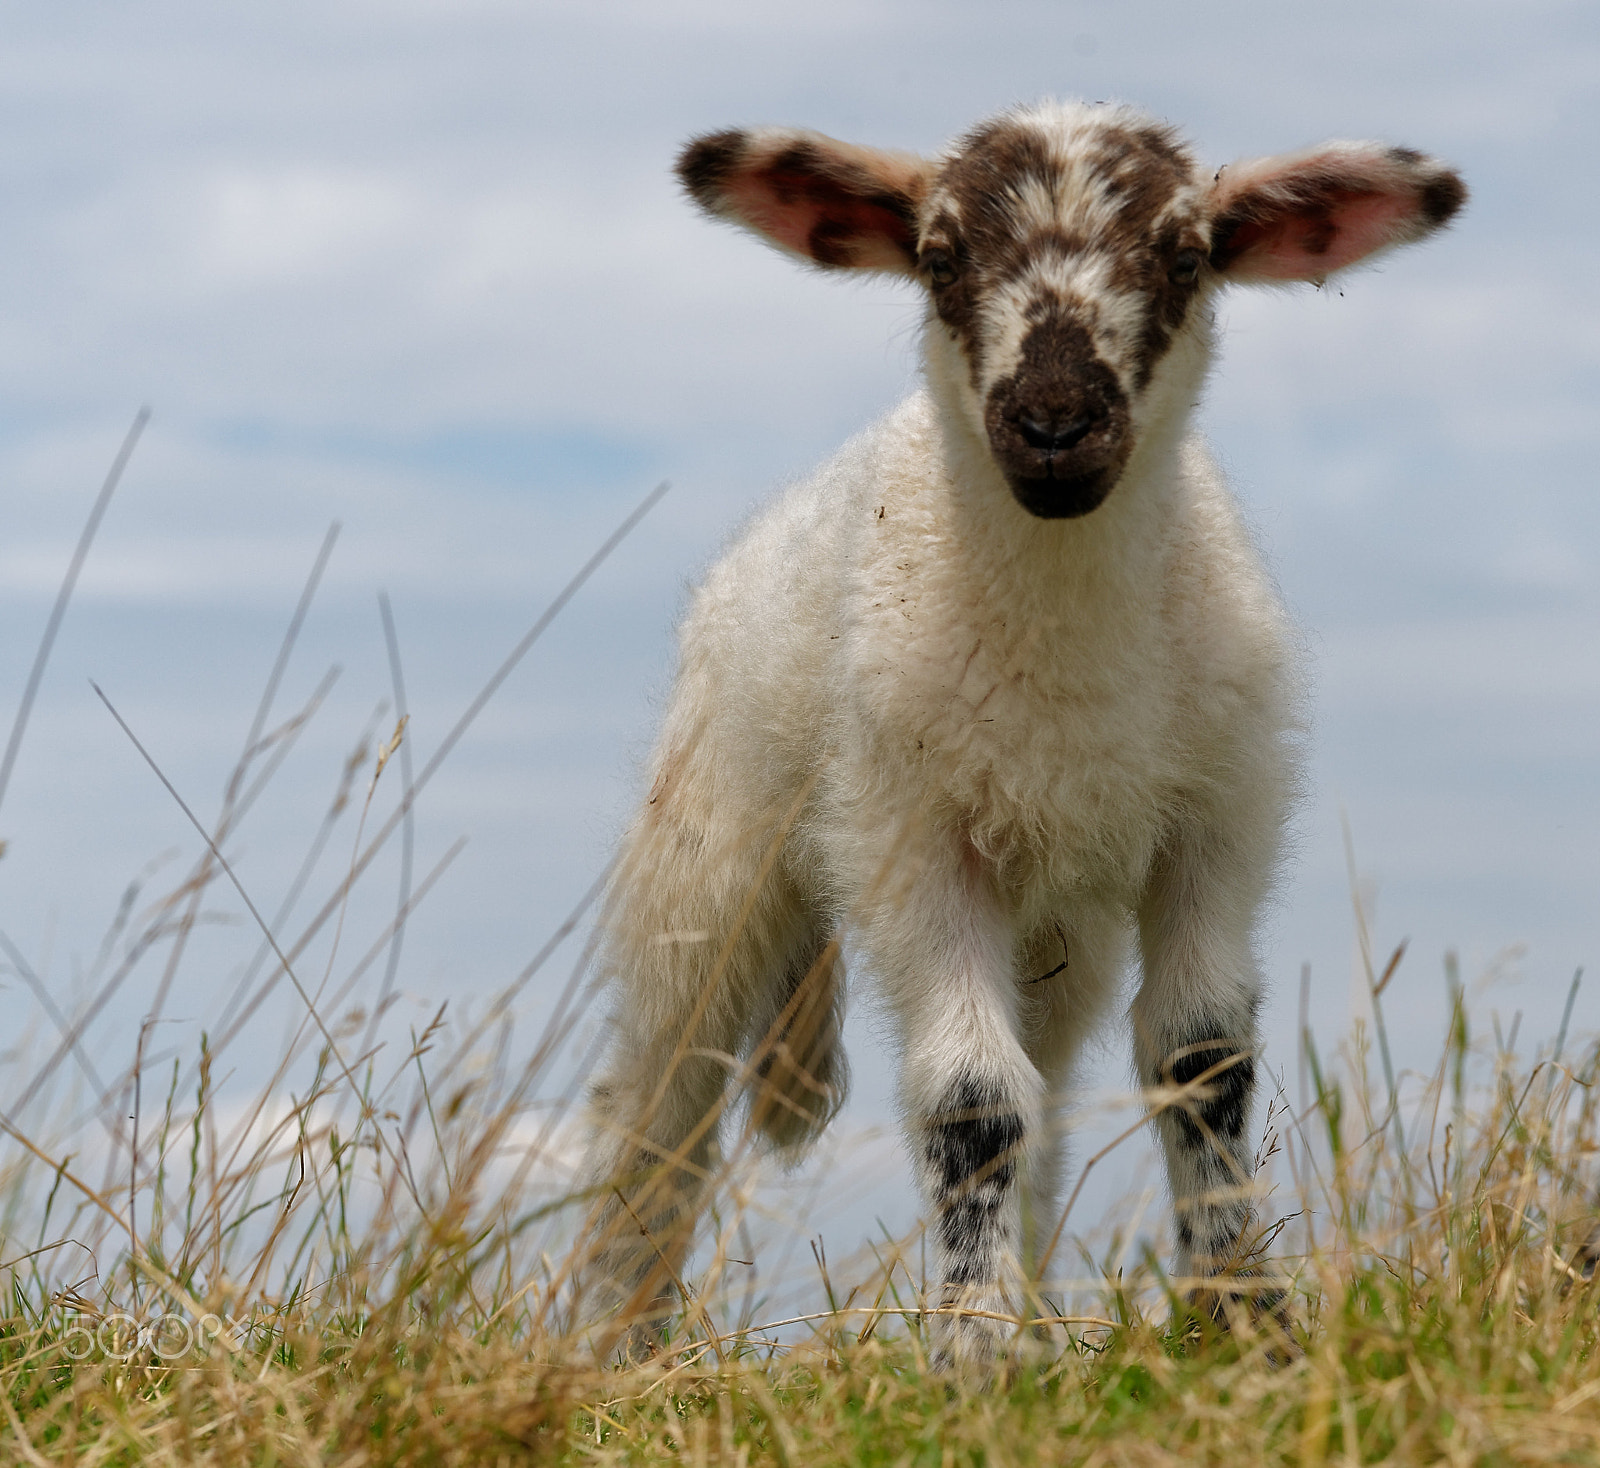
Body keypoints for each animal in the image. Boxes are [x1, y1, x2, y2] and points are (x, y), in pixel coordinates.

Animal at [576, 100, 1465, 1368]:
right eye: (940, 257)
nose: (1053, 425)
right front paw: (970, 1351)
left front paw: (1243, 1321)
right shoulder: (909, 838)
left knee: (1042, 1091)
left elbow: (1199, 1062)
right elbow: (969, 1095)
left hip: (1058, 932)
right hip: (707, 851)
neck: (1068, 660)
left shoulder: (1219, 822)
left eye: (1185, 256)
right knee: (658, 1104)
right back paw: (620, 1350)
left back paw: (1038, 1310)